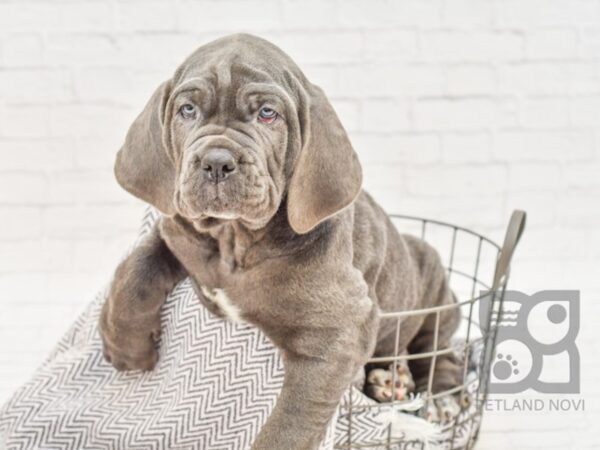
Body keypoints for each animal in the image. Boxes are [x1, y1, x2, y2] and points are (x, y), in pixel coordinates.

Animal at [101, 34, 462, 450]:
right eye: (187, 110)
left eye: (267, 114)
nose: (216, 162)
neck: (235, 242)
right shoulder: (178, 232)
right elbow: (135, 267)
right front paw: (126, 347)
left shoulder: (341, 329)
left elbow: (292, 420)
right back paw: (391, 382)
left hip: (433, 287)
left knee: (437, 350)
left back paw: (437, 396)